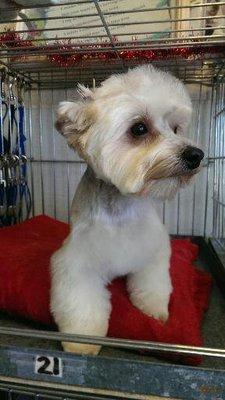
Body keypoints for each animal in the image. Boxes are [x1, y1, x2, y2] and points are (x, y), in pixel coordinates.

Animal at [50, 65, 204, 356]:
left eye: (176, 128)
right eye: (139, 128)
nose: (196, 155)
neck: (120, 208)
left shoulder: (152, 250)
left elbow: (152, 283)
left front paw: (154, 309)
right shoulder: (79, 263)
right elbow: (82, 306)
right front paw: (81, 342)